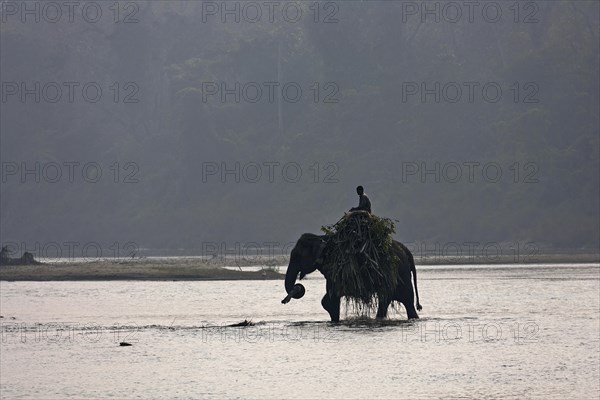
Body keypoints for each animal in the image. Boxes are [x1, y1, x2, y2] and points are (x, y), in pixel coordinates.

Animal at [282, 234, 420, 322]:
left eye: (296, 256)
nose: (284, 301)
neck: (319, 237)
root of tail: (407, 251)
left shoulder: (336, 267)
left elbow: (330, 299)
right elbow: (327, 299)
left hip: (400, 274)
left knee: (404, 301)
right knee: (389, 301)